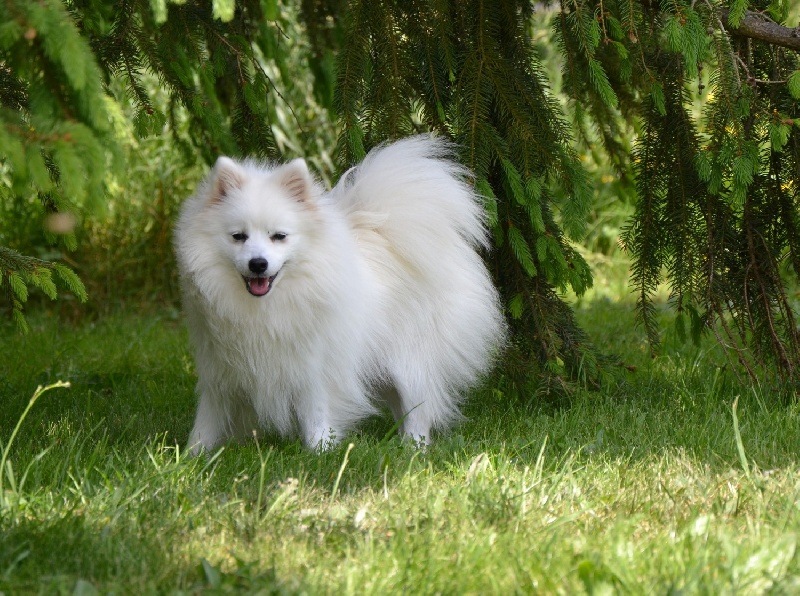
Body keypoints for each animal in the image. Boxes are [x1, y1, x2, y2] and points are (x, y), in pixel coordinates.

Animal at [174, 136, 504, 452]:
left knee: (419, 408)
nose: (258, 263)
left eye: (279, 236)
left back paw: (414, 448)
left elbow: (315, 412)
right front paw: (192, 455)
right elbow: (209, 418)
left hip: (409, 362)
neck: (268, 304)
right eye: (238, 237)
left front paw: (321, 451)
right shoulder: (221, 370)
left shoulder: (314, 367)